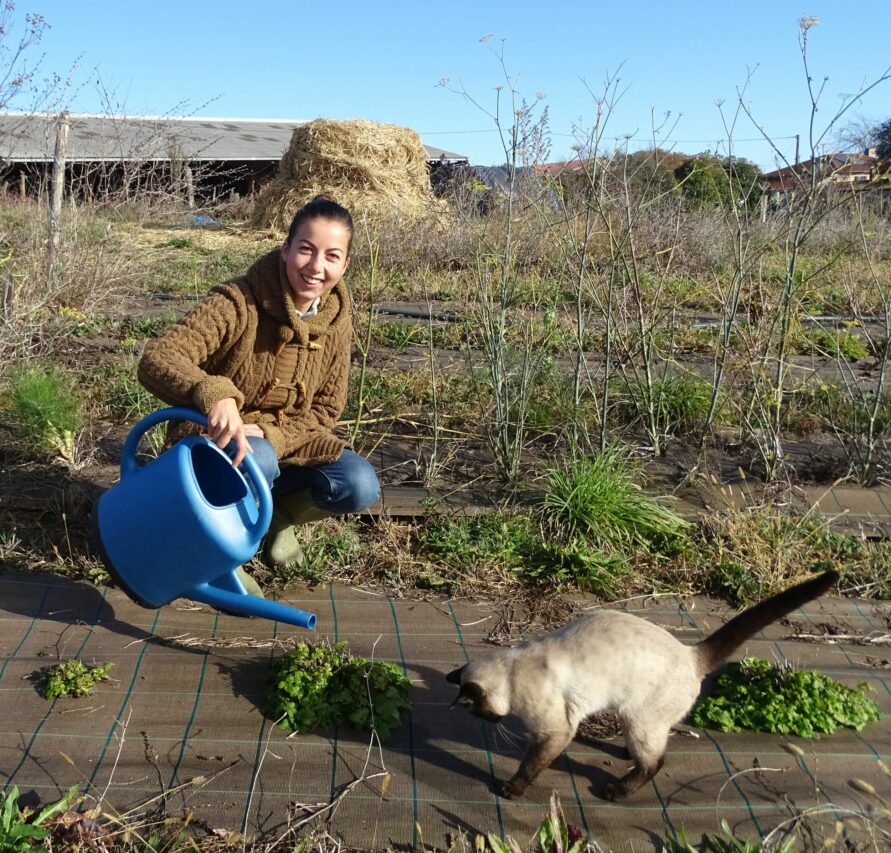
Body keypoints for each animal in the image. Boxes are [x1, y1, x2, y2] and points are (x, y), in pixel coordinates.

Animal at [450, 564, 840, 800]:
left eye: (477, 711)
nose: (488, 721)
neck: (514, 674)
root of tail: (691, 654)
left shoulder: (556, 731)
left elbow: (531, 765)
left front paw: (510, 789)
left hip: (640, 720)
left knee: (655, 763)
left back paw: (616, 791)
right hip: (637, 722)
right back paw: (625, 754)